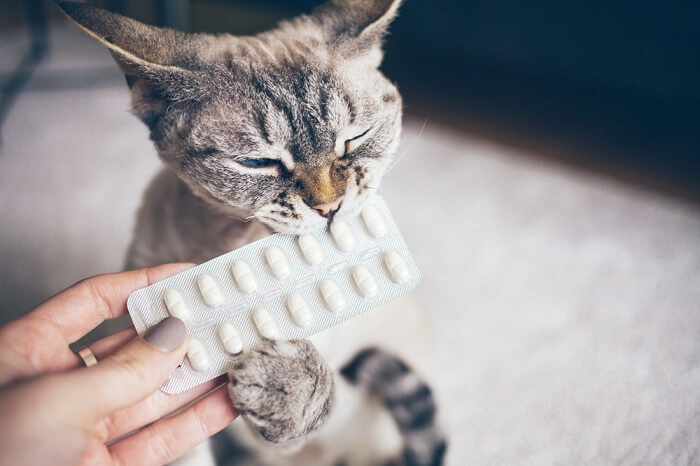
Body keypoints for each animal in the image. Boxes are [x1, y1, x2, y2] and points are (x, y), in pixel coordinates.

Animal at [57, 1, 446, 464]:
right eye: (257, 163)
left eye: (356, 138)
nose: (330, 207)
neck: (223, 247)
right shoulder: (173, 418)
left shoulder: (286, 440)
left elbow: (314, 397)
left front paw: (284, 382)